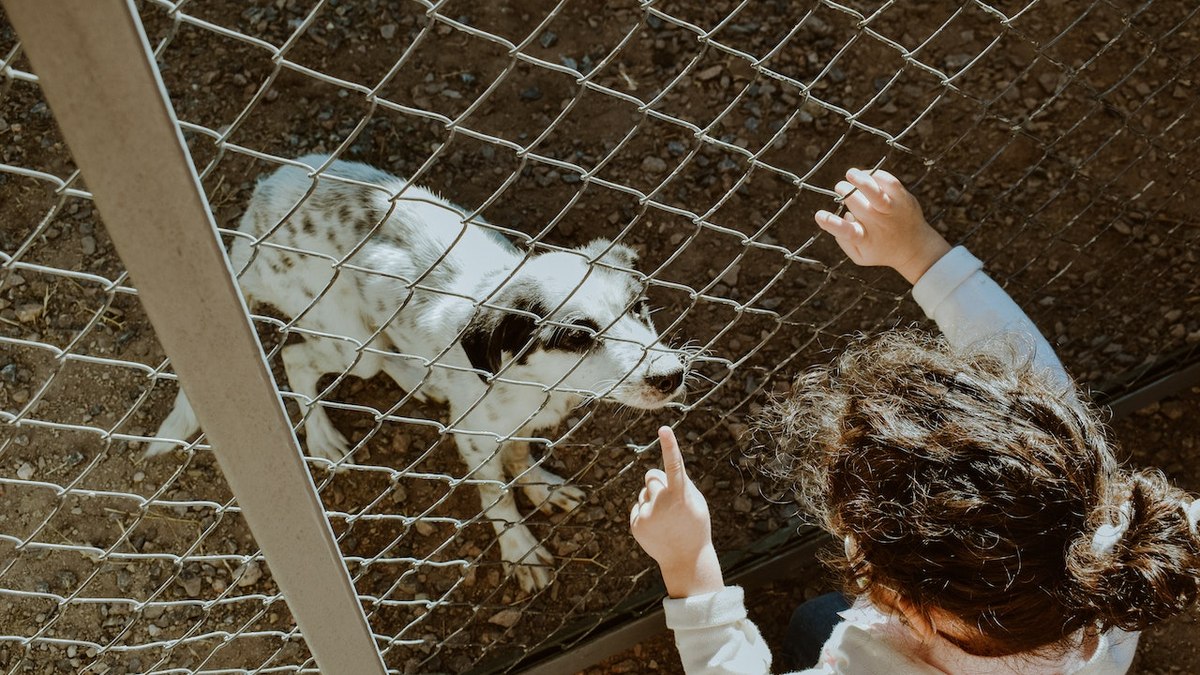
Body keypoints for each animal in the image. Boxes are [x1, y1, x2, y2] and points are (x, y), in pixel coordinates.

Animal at [148, 152, 691, 588]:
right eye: (578, 337)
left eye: (639, 308)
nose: (672, 375)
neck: (536, 383)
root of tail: (258, 208)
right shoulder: (475, 435)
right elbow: (497, 496)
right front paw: (519, 550)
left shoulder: (514, 423)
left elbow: (519, 457)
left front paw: (541, 487)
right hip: (349, 338)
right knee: (296, 358)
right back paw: (322, 437)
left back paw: (420, 384)